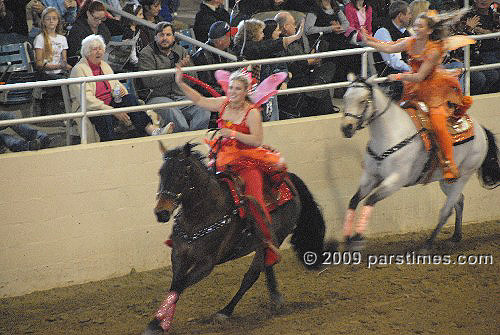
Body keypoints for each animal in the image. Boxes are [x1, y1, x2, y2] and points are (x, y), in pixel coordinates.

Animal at [144, 143, 332, 334]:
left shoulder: (206, 264)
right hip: (265, 244)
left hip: (275, 238)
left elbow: (180, 286)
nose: (161, 212)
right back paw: (275, 298)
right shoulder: (178, 256)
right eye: (161, 172)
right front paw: (161, 323)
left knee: (251, 276)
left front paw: (155, 324)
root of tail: (289, 180)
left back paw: (225, 312)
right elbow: (175, 285)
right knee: (267, 266)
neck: (202, 215)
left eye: (182, 174)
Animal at [340, 75, 496, 251]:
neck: (389, 134)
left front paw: (358, 239)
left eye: (362, 101)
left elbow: (370, 200)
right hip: (447, 180)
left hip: (464, 176)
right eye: (345, 98)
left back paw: (427, 245)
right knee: (459, 201)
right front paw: (347, 239)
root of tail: (481, 130)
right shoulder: (370, 177)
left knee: (446, 210)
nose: (346, 128)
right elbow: (354, 200)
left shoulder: (396, 180)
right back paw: (456, 236)